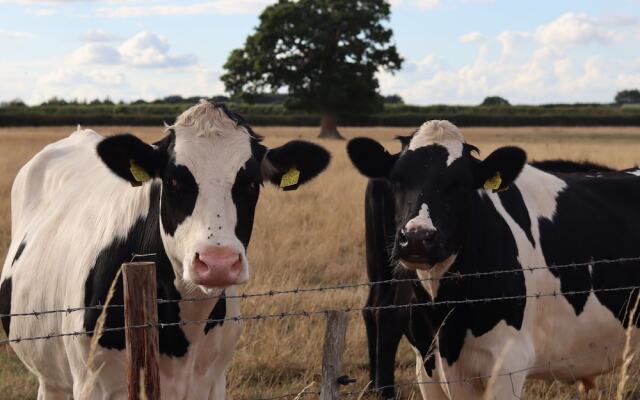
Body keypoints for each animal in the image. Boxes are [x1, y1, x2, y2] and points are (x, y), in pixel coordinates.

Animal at [0, 101, 330, 400]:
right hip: (52, 376)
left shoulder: (213, 383)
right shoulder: (92, 383)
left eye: (251, 183)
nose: (218, 262)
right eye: (172, 181)